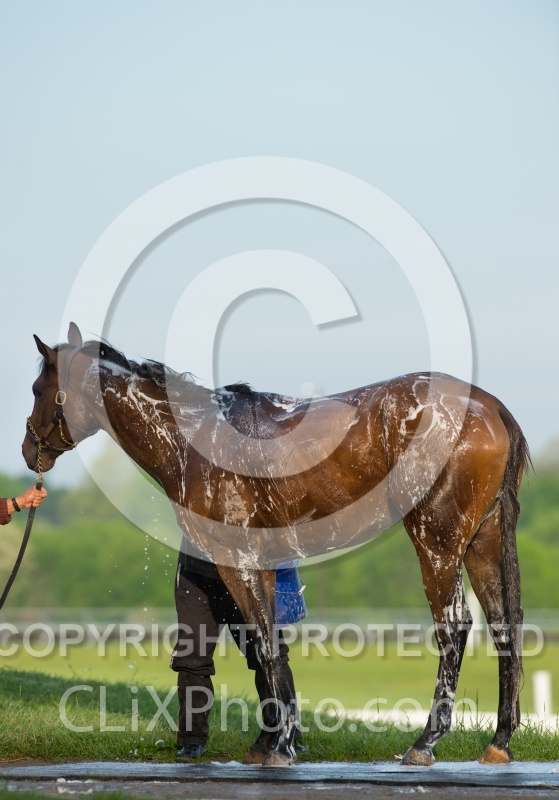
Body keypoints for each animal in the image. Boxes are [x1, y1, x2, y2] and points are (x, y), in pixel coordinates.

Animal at [23, 322, 530, 767]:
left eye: (36, 389)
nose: (29, 451)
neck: (195, 438)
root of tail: (490, 406)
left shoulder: (238, 561)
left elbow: (266, 647)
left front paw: (281, 748)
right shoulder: (260, 565)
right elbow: (267, 651)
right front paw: (276, 742)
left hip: (437, 542)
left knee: (455, 627)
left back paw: (424, 744)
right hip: (481, 541)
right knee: (504, 625)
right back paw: (499, 742)